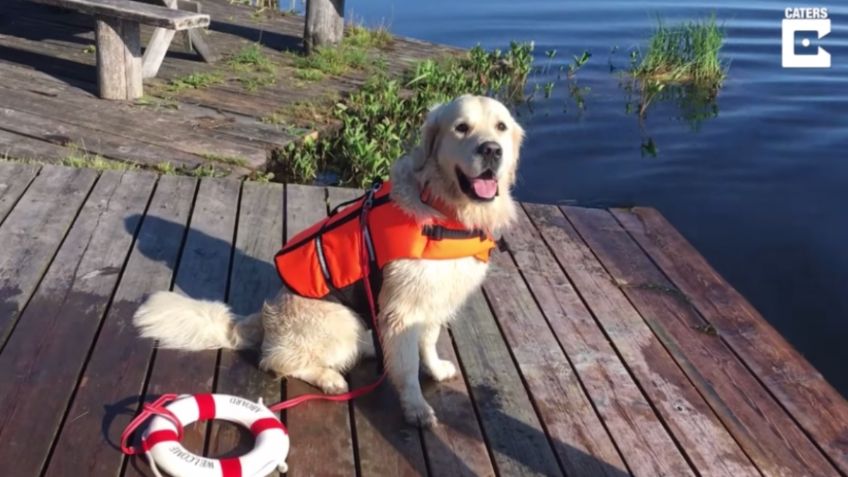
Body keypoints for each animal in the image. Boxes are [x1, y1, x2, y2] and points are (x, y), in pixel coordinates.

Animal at [134, 95, 524, 426]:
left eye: (501, 127)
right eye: (462, 127)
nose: (491, 150)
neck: (447, 210)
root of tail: (261, 318)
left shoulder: (435, 301)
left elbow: (426, 344)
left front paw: (436, 369)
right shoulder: (403, 308)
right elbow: (408, 367)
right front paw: (416, 409)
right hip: (339, 322)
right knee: (275, 358)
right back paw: (330, 378)